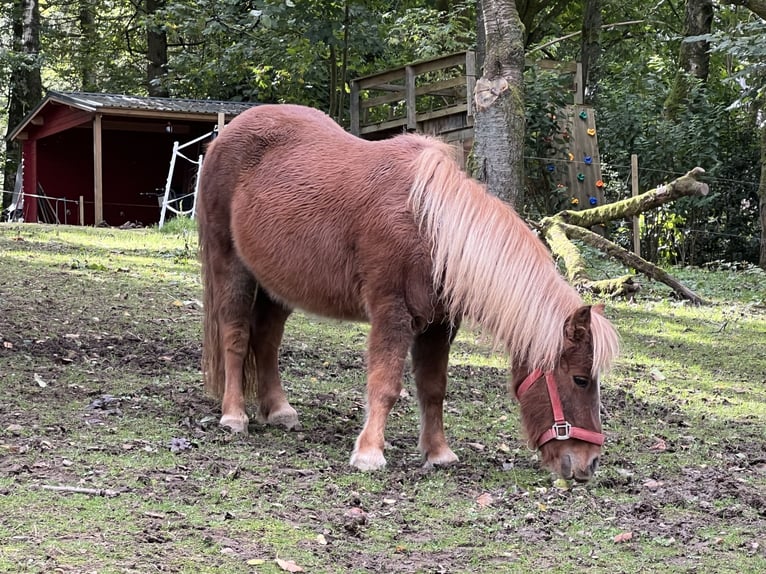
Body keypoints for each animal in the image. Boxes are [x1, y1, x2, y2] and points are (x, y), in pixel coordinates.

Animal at [196, 103, 616, 482]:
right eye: (581, 379)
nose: (590, 463)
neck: (431, 227)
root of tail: (224, 137)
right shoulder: (392, 313)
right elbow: (385, 385)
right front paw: (369, 453)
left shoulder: (440, 324)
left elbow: (433, 388)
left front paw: (439, 453)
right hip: (231, 265)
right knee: (236, 337)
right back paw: (234, 415)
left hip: (277, 285)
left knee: (266, 340)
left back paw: (279, 411)